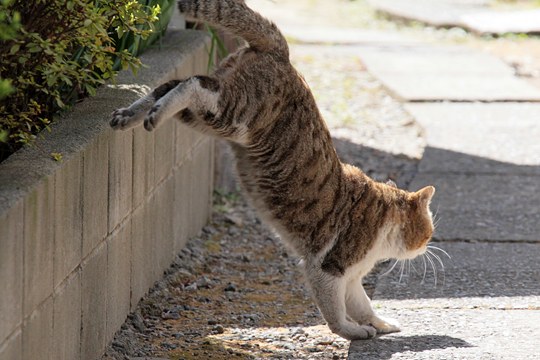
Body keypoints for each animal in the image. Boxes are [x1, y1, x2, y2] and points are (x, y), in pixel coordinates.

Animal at [109, 0, 434, 340]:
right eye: (427, 231)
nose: (428, 246)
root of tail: (283, 53)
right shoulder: (328, 268)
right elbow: (336, 312)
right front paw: (352, 331)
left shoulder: (353, 278)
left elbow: (363, 304)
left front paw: (382, 324)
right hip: (231, 113)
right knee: (193, 84)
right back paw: (150, 116)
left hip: (204, 116)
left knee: (167, 86)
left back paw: (129, 115)